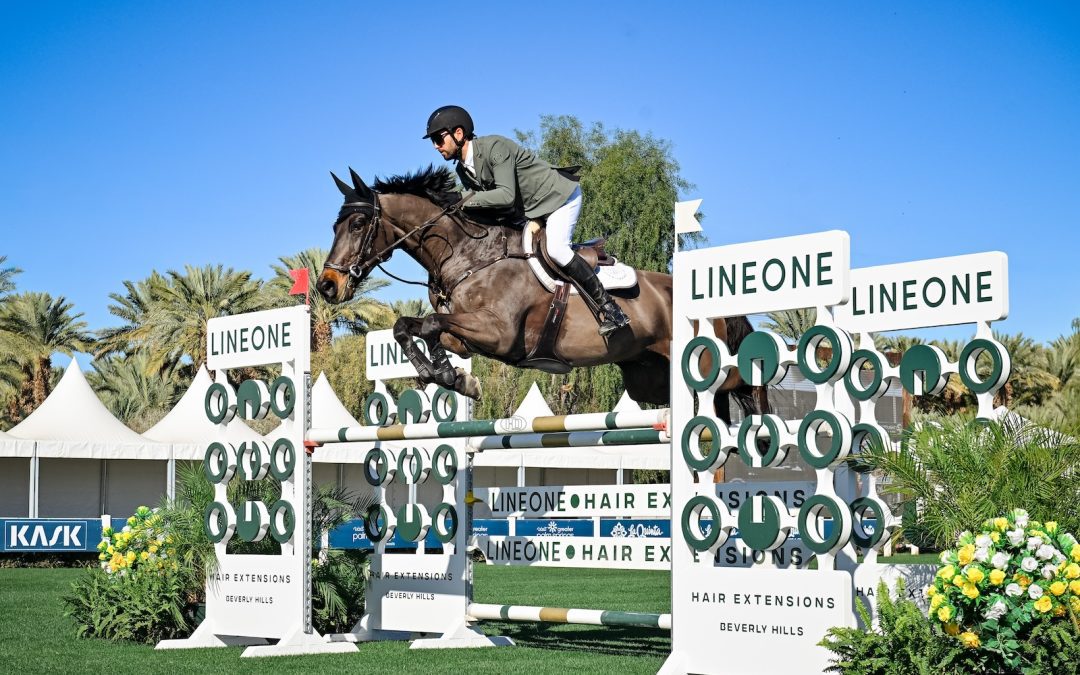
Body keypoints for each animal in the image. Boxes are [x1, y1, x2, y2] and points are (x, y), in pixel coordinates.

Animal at [315, 166, 769, 425]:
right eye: (335, 225)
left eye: (357, 224)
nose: (326, 286)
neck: (468, 254)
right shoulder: (468, 336)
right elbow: (410, 326)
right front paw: (451, 377)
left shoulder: (498, 334)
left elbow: (427, 324)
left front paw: (447, 376)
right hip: (649, 380)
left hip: (701, 365)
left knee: (738, 382)